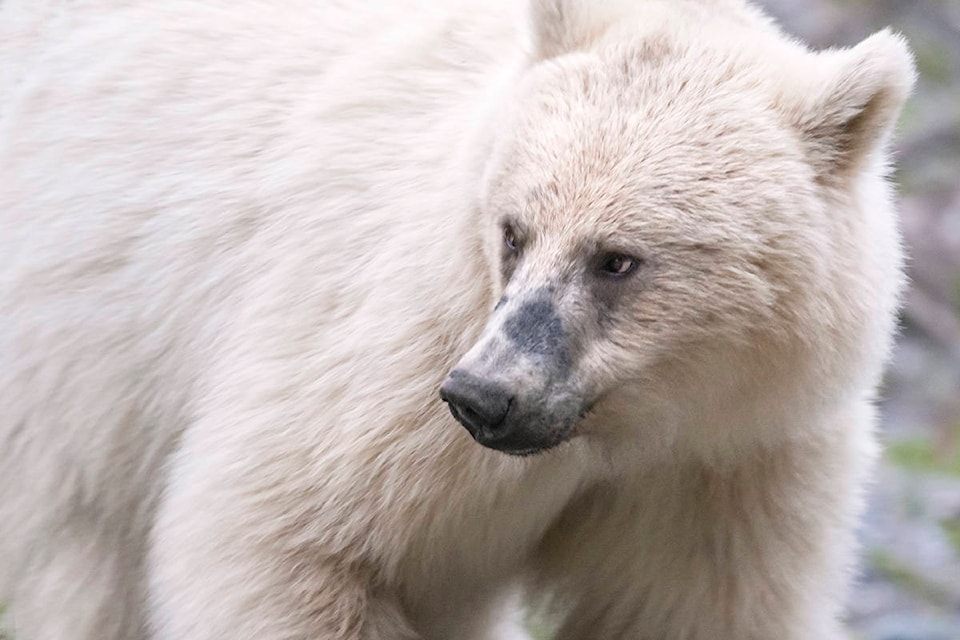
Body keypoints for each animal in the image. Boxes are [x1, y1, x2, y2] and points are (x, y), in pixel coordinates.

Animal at [0, 0, 916, 636]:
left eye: (617, 258)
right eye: (513, 230)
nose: (484, 395)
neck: (627, 428)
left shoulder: (732, 461)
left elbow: (682, 606)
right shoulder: (390, 361)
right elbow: (283, 533)